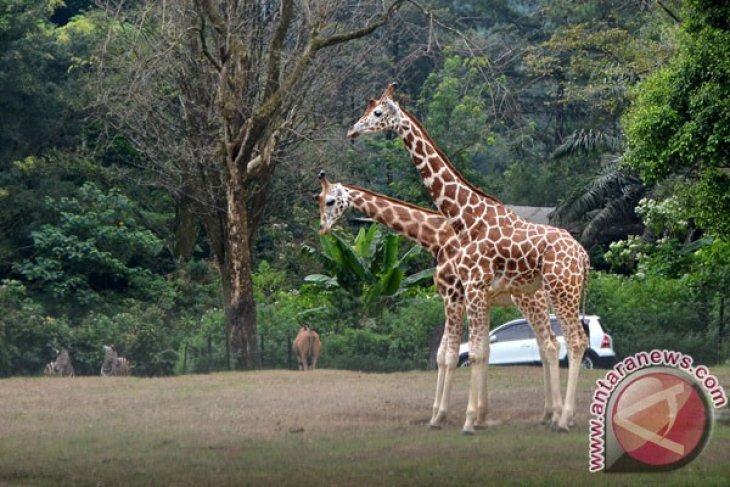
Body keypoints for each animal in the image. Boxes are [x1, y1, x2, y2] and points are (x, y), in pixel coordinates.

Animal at [344, 84, 588, 434]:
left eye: (377, 112)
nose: (352, 130)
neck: (463, 217)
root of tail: (583, 255)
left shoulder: (463, 290)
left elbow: (465, 353)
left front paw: (463, 419)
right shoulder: (472, 293)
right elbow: (473, 351)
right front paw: (473, 416)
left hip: (558, 291)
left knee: (573, 342)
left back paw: (563, 418)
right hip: (551, 294)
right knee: (552, 344)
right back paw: (551, 415)